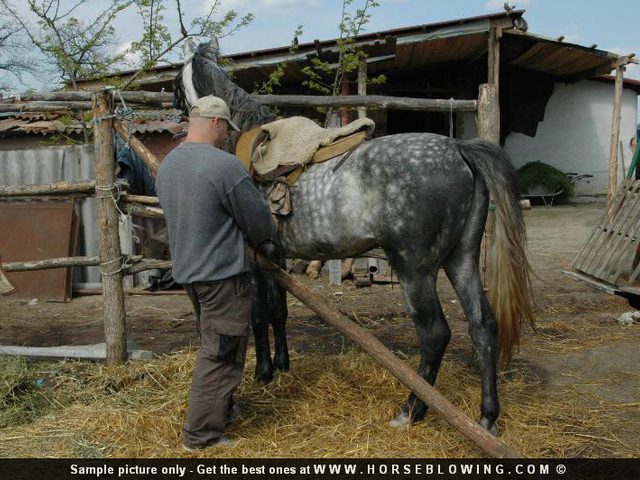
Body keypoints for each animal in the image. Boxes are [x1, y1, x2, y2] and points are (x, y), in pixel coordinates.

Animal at [172, 41, 532, 436]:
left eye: (175, 83)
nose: (176, 113)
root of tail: (459, 150)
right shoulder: (274, 258)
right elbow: (278, 311)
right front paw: (281, 366)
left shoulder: (253, 262)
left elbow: (257, 316)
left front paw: (263, 372)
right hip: (461, 259)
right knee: (483, 325)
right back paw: (487, 416)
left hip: (415, 270)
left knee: (435, 334)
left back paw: (411, 409)